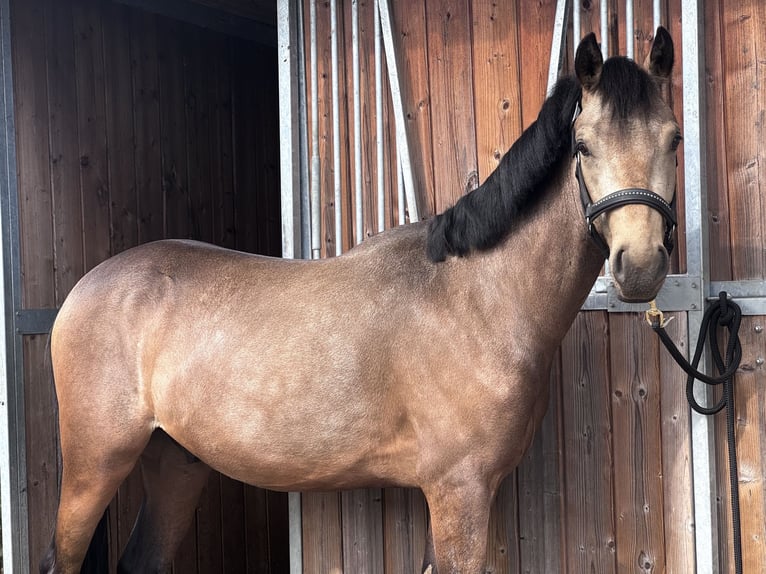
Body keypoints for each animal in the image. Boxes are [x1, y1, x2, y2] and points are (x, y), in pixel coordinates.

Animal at [41, 28, 679, 574]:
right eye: (583, 146)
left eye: (674, 138)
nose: (641, 265)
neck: (478, 300)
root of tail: (86, 287)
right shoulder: (460, 489)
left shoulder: (462, 494)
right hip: (94, 464)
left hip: (176, 462)